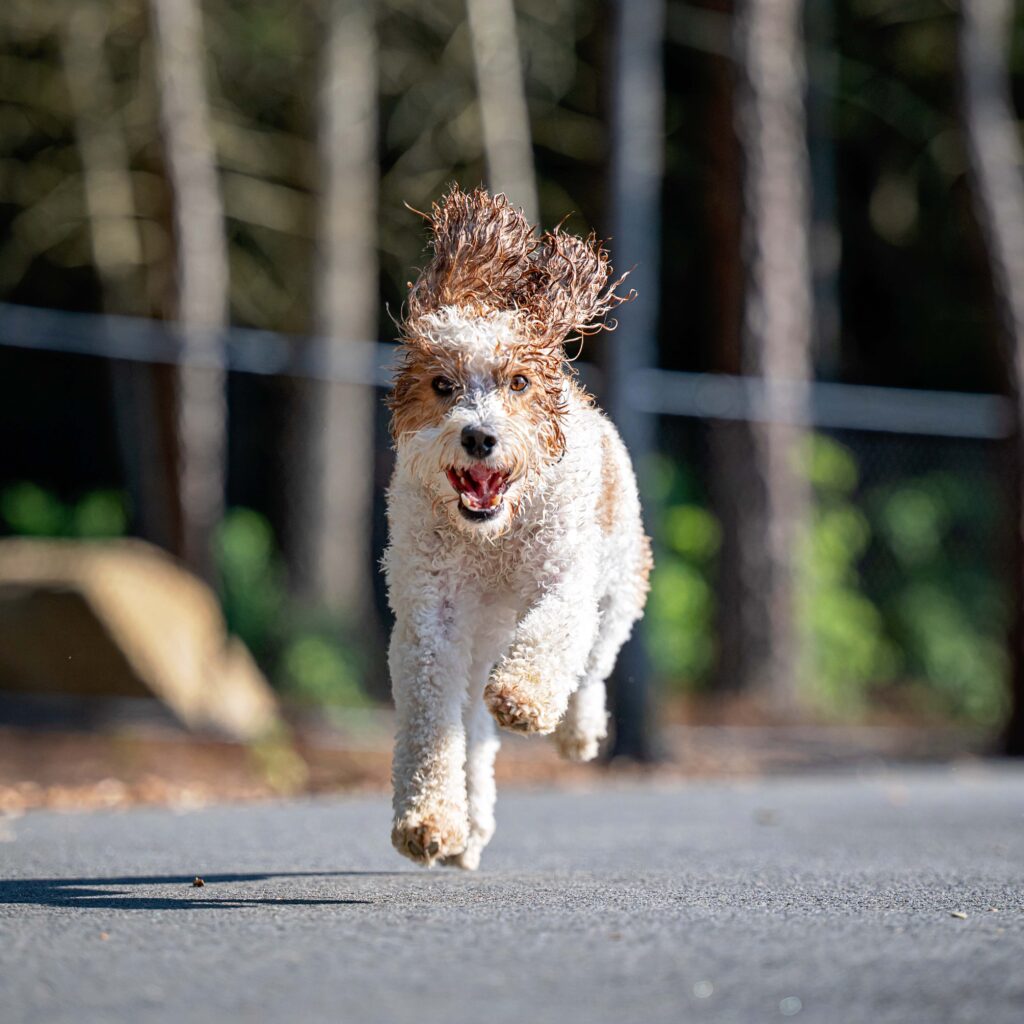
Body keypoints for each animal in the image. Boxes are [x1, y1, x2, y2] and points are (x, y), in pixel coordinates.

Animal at [380, 188, 651, 868]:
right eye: (442, 385)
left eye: (519, 382)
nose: (480, 436)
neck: (491, 540)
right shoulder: (431, 625)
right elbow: (432, 728)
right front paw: (428, 819)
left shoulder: (564, 582)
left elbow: (555, 633)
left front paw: (523, 697)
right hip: (480, 643)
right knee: (474, 732)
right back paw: (471, 824)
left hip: (619, 584)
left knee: (593, 664)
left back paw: (578, 732)